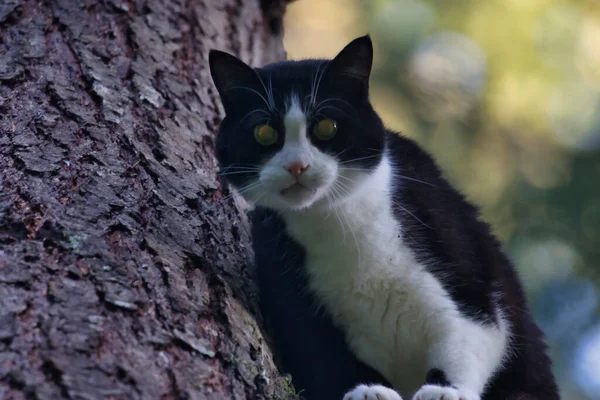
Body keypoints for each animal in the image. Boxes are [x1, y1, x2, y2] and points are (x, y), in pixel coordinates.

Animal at [209, 35, 560, 400]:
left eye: (326, 126)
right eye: (264, 132)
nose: (297, 166)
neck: (335, 224)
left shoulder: (458, 255)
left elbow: (470, 329)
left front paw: (444, 391)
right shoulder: (286, 283)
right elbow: (321, 354)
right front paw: (367, 391)